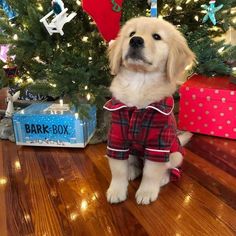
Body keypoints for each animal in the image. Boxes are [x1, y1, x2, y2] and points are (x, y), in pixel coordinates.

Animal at [104, 16, 195, 205]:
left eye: (157, 37)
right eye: (132, 33)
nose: (135, 40)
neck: (140, 81)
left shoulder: (158, 145)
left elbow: (151, 172)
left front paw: (146, 191)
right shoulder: (117, 138)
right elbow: (118, 169)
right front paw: (116, 189)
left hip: (176, 154)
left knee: (167, 167)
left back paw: (164, 178)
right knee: (133, 162)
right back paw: (132, 170)